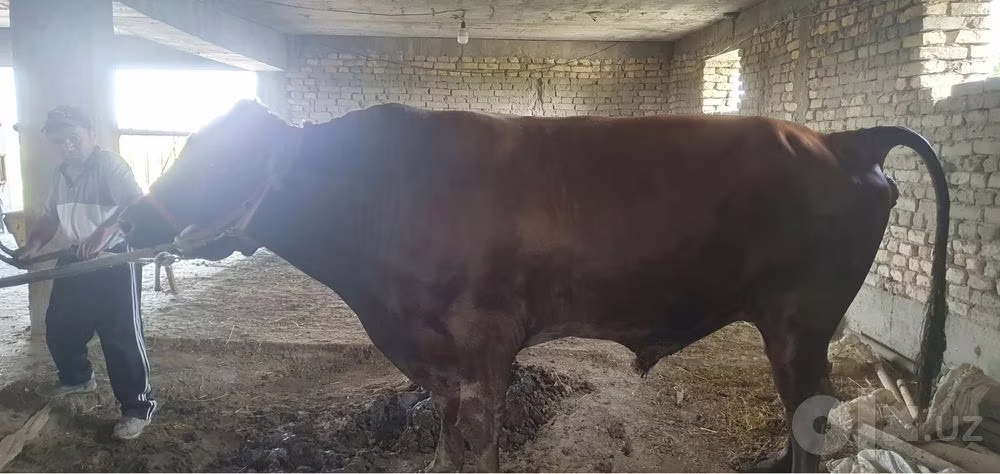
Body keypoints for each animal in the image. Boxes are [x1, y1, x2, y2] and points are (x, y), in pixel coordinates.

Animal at [118, 101, 949, 473]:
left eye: (218, 158)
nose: (130, 218)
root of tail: (839, 140)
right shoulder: (441, 363)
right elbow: (451, 450)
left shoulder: (482, 350)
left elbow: (480, 451)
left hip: (799, 323)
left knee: (812, 423)